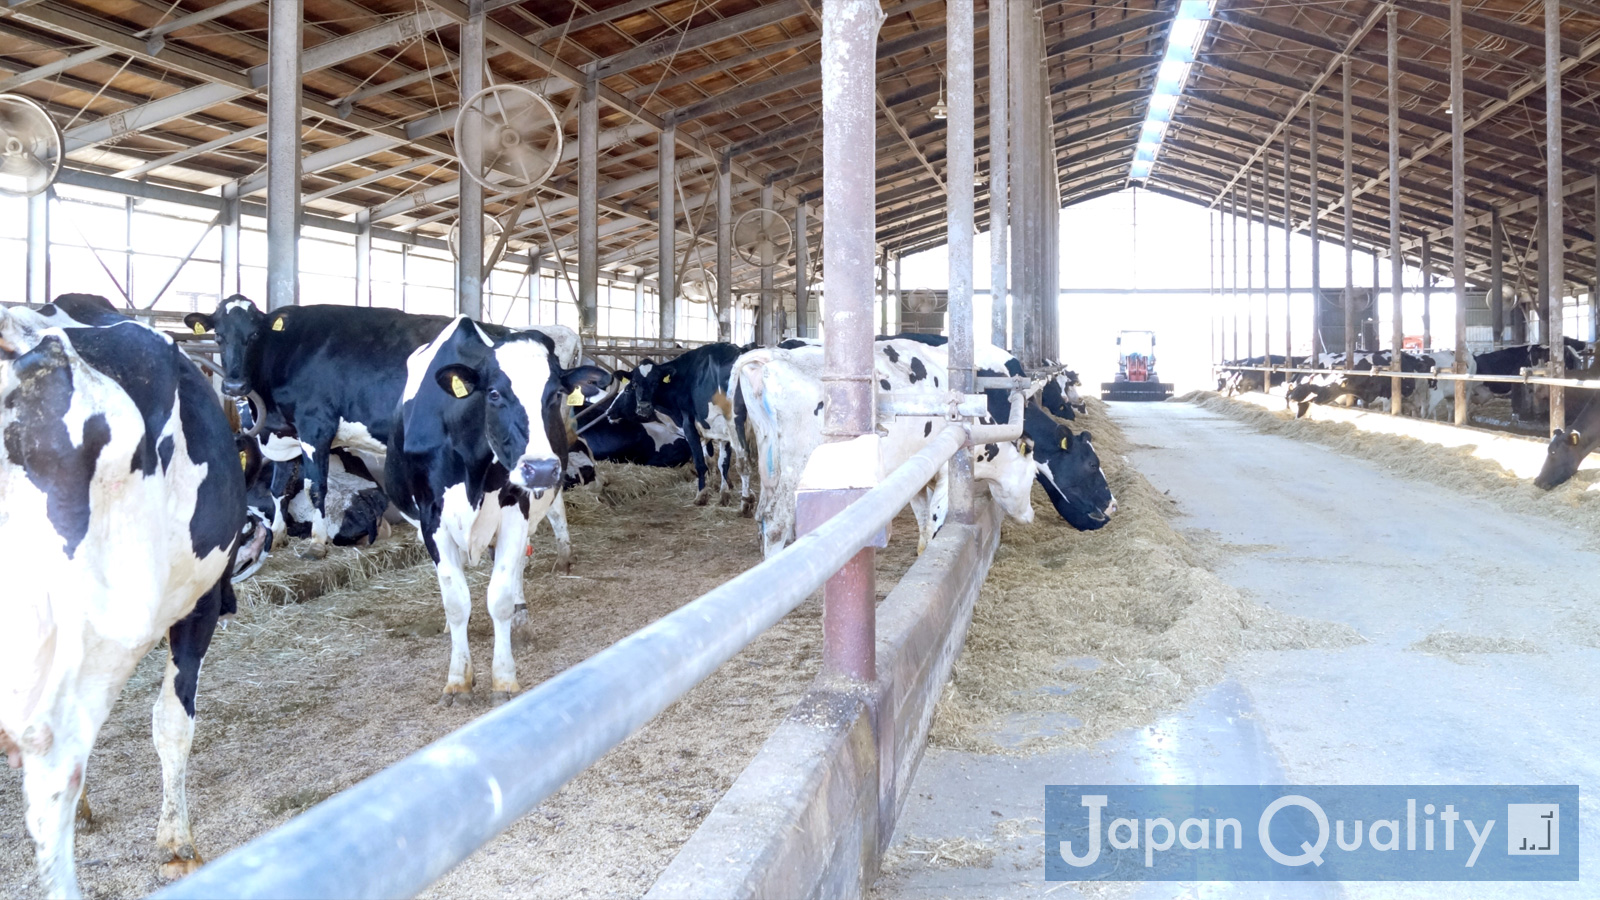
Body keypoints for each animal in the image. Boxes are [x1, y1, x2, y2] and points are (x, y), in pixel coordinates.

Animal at [184, 297, 582, 563]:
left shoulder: (316, 426)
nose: (233, 385)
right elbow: (280, 488)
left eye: (254, 335)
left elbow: (315, 487)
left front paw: (315, 543)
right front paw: (278, 535)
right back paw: (560, 551)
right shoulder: (286, 435)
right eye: (218, 336)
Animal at [385, 318, 604, 704]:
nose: (541, 469)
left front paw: (503, 679)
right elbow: (456, 601)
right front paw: (458, 680)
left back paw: (521, 619)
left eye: (554, 394)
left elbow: (499, 596)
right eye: (495, 394)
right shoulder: (431, 519)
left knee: (518, 566)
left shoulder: (516, 508)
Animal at [614, 341, 758, 512]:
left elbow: (701, 462)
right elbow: (721, 463)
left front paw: (702, 495)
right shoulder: (720, 431)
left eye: (655, 382)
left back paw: (746, 504)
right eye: (634, 384)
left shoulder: (690, 426)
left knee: (745, 464)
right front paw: (724, 495)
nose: (643, 407)